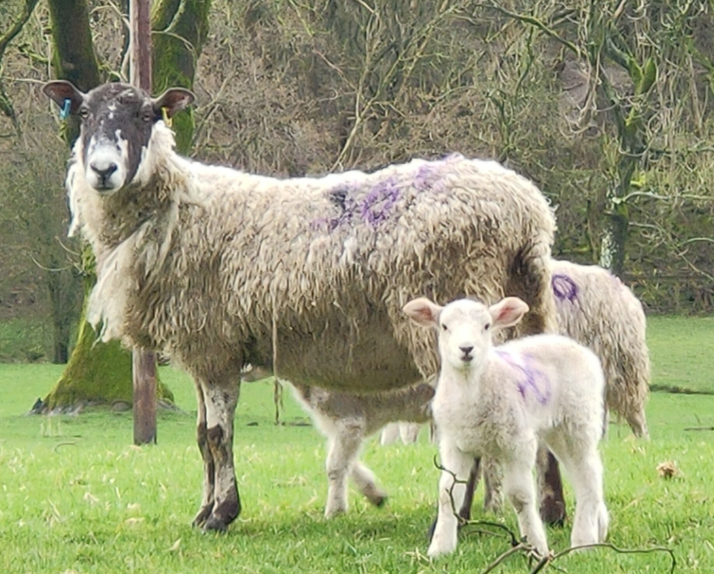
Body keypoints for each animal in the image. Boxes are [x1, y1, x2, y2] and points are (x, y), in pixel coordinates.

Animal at [403, 296, 608, 558]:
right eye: (444, 326)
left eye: (486, 326)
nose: (466, 349)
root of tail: (574, 345)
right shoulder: (454, 444)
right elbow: (447, 493)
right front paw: (440, 549)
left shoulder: (518, 441)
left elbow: (520, 496)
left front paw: (536, 547)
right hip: (558, 432)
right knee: (584, 475)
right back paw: (599, 529)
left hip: (578, 420)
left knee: (589, 476)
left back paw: (583, 542)